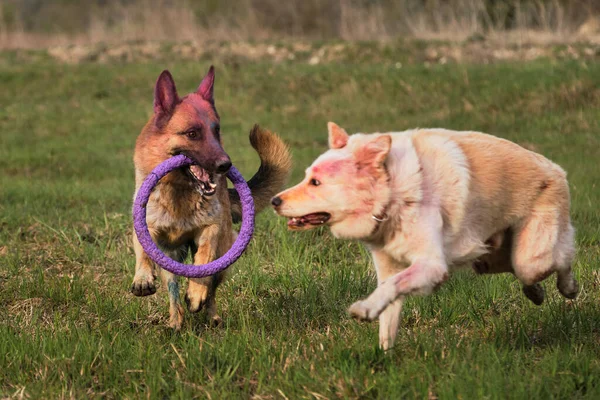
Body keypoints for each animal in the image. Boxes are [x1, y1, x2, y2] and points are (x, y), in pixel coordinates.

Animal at [131, 66, 290, 328]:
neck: (180, 190)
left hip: (223, 255)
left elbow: (204, 261)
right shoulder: (146, 227)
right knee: (173, 289)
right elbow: (143, 252)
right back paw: (175, 322)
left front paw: (196, 293)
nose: (226, 165)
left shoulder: (210, 228)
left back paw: (210, 314)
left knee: (212, 286)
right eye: (192, 133)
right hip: (170, 258)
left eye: (216, 131)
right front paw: (143, 278)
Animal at [270, 122, 576, 350]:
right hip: (488, 257)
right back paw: (536, 293)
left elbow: (391, 287)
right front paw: (384, 355)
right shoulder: (389, 266)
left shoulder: (431, 265)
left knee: (561, 258)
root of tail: (557, 169)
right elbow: (388, 309)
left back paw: (569, 288)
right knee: (523, 272)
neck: (392, 191)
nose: (274, 201)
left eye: (316, 182)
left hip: (532, 257)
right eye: (307, 177)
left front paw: (364, 310)